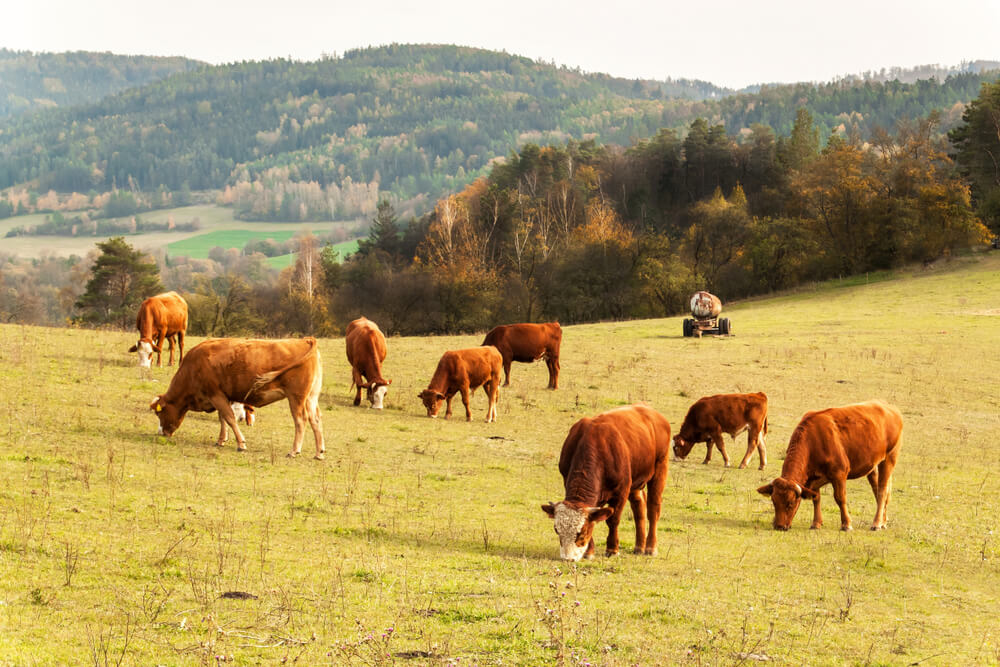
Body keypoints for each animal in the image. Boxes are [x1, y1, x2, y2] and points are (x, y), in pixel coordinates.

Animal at [150, 340, 326, 460]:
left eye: (159, 413)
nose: (161, 433)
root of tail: (306, 340)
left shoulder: (216, 395)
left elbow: (229, 418)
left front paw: (241, 444)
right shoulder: (222, 397)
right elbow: (223, 418)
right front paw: (221, 440)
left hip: (296, 397)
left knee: (301, 420)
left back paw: (294, 450)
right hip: (311, 398)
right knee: (315, 420)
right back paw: (319, 453)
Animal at [540, 404, 672, 560]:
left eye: (582, 532)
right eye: (557, 530)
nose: (568, 558)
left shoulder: (621, 491)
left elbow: (613, 520)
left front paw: (612, 549)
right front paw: (589, 552)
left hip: (660, 467)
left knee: (653, 508)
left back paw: (650, 547)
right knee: (639, 507)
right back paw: (639, 546)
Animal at [752, 402, 904, 532]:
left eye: (790, 503)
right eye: (774, 501)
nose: (779, 526)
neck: (814, 440)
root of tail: (890, 407)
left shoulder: (839, 473)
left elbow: (840, 498)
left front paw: (846, 524)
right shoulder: (813, 478)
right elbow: (816, 498)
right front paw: (816, 523)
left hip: (890, 458)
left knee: (882, 491)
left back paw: (876, 523)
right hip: (873, 466)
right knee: (878, 490)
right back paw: (883, 521)